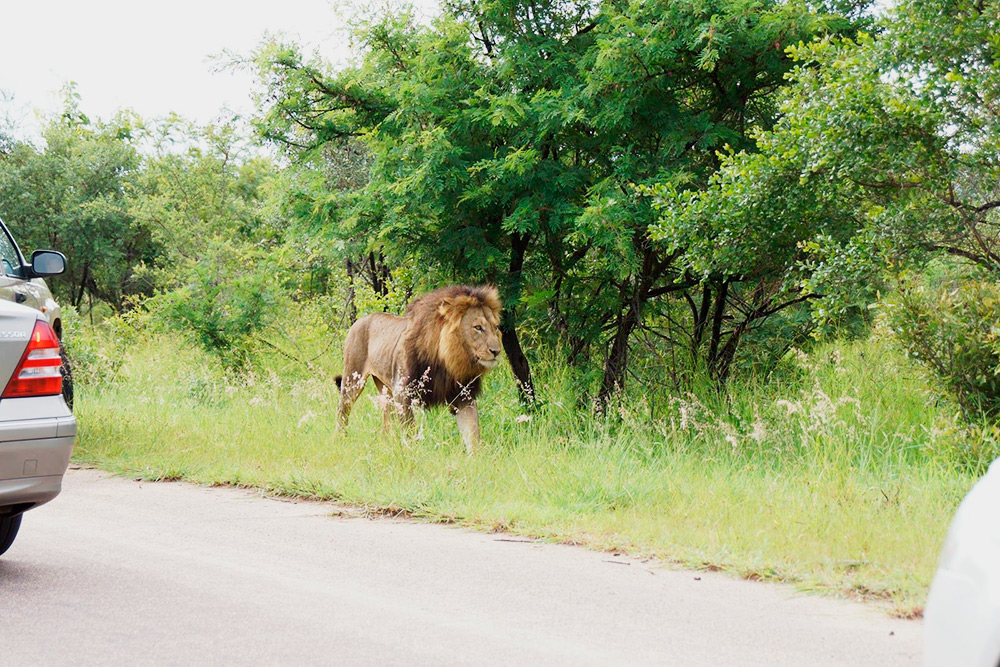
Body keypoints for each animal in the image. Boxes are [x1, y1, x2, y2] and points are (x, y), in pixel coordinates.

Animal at [336, 284, 504, 452]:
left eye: (495, 327)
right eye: (478, 327)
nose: (496, 351)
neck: (446, 361)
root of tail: (360, 320)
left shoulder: (464, 396)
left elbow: (472, 434)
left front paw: (476, 456)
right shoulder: (403, 393)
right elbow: (410, 432)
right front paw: (412, 452)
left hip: (386, 391)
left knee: (386, 420)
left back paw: (385, 444)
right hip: (353, 381)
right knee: (342, 411)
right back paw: (341, 440)